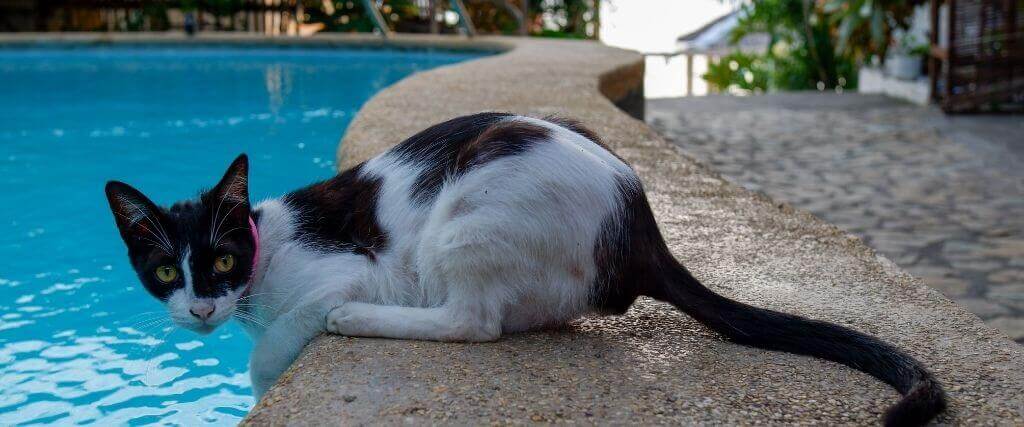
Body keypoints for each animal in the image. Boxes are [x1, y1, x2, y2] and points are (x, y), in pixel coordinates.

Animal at [105, 111, 942, 423]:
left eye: (220, 259)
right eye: (165, 272)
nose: (200, 309)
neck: (266, 247)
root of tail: (641, 220)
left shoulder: (341, 272)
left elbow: (271, 349)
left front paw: (266, 368)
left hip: (469, 211)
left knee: (472, 322)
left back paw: (365, 321)